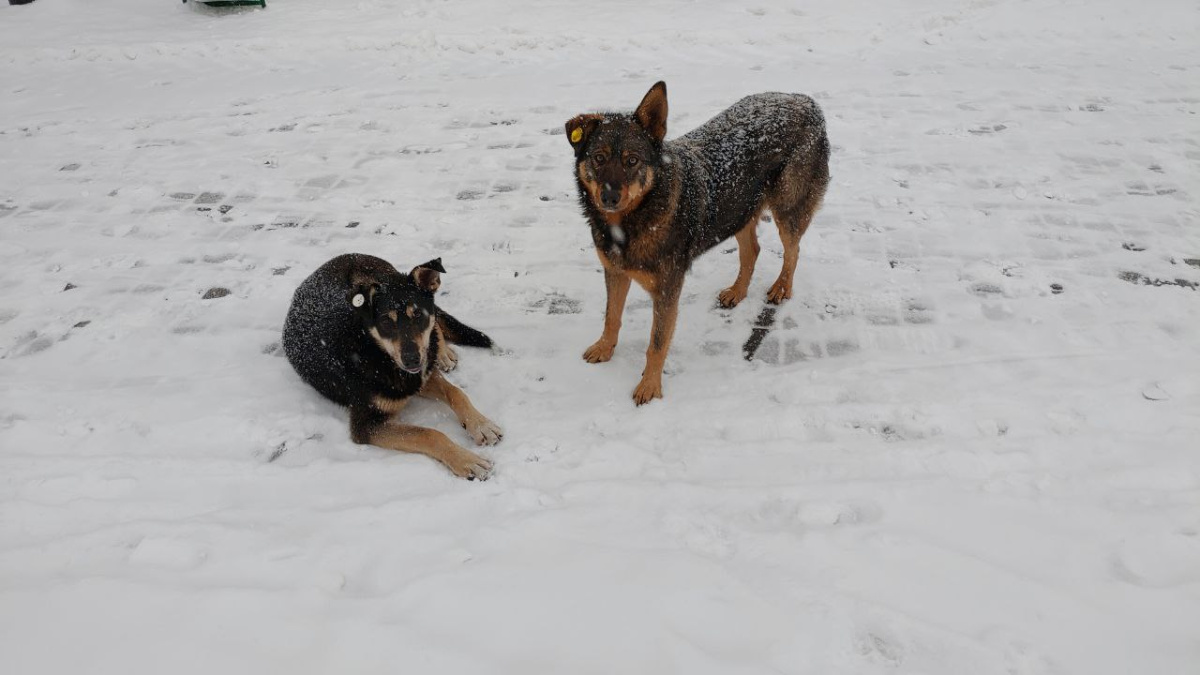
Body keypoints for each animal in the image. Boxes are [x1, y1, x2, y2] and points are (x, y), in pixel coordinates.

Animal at [282, 252, 501, 478]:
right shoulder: (367, 424)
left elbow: (456, 392)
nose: (412, 359)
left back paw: (442, 353)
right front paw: (466, 459)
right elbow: (428, 433)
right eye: (386, 322)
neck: (373, 348)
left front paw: (481, 425)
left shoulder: (420, 377)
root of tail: (345, 255)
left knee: (437, 325)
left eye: (418, 315)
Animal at [566, 81, 830, 401]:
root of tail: (802, 98)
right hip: (738, 209)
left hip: (787, 210)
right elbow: (611, 316)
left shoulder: (668, 290)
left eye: (632, 160)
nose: (609, 197)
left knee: (793, 250)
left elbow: (656, 344)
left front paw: (650, 386)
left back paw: (782, 287)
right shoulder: (615, 272)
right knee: (752, 251)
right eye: (598, 158)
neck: (635, 220)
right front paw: (605, 348)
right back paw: (737, 291)